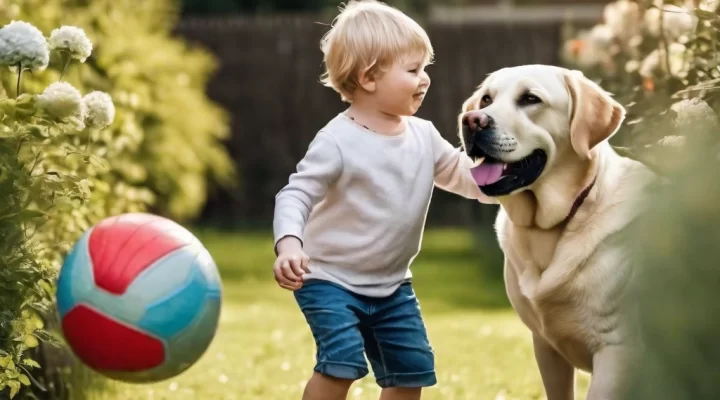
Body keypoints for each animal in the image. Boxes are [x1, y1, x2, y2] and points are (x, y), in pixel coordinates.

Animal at [458, 64, 656, 398]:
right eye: (486, 99)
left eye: (530, 99)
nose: (472, 120)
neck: (545, 228)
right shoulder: (546, 348)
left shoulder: (617, 351)